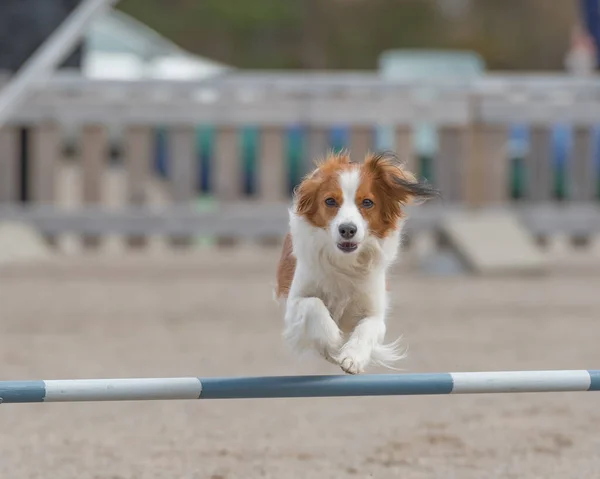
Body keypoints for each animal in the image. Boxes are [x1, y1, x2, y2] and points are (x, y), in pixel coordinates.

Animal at [274, 150, 438, 376]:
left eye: (367, 202)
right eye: (330, 201)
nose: (347, 229)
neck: (345, 262)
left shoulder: (375, 313)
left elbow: (366, 328)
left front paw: (352, 357)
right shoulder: (294, 304)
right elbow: (314, 304)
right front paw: (333, 339)